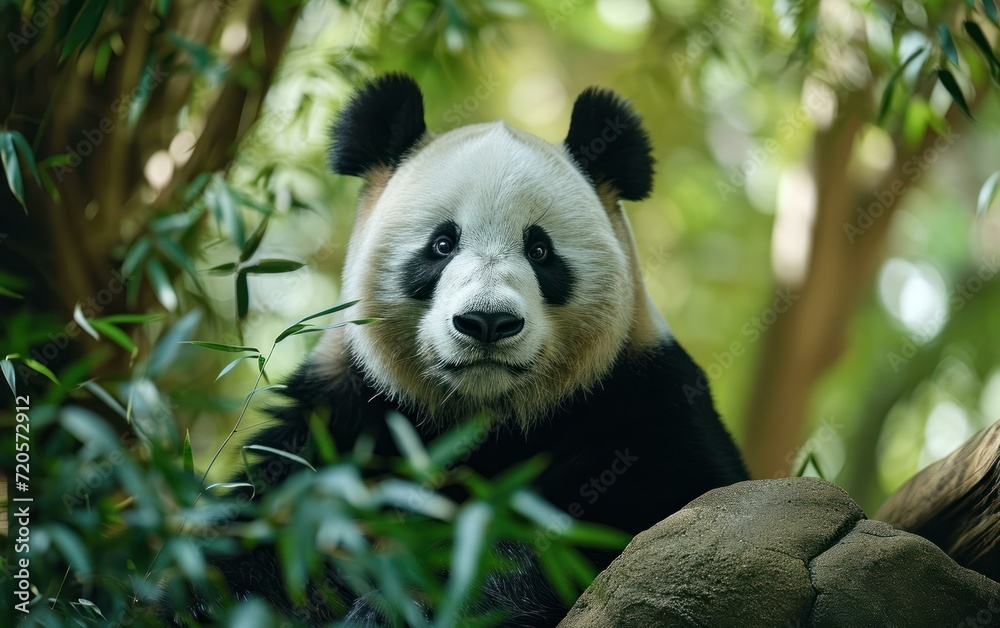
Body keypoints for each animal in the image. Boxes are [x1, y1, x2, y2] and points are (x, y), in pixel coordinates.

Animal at [210, 73, 749, 626]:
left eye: (540, 250)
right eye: (442, 244)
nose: (487, 322)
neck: (484, 415)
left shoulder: (641, 399)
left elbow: (623, 521)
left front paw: (404, 603)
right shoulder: (345, 412)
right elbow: (263, 529)